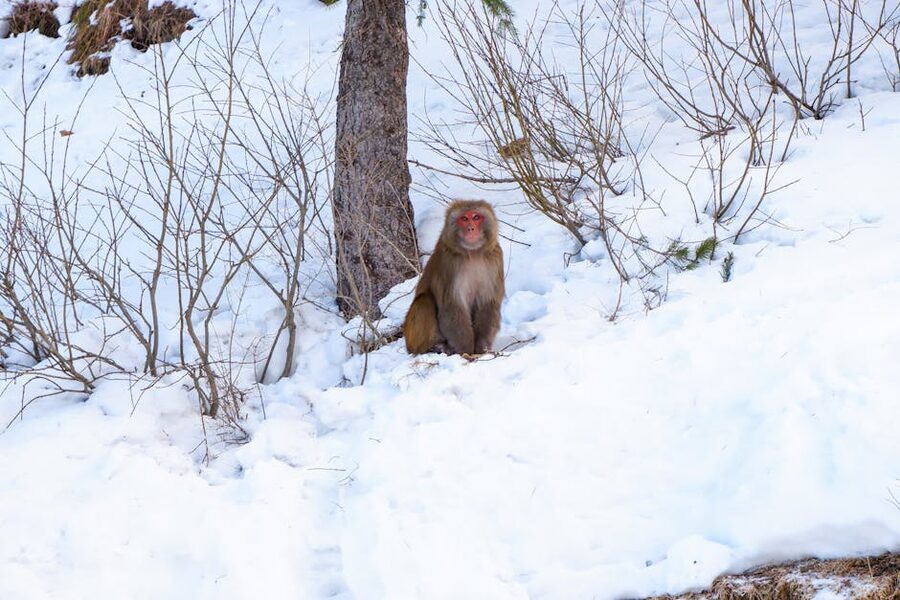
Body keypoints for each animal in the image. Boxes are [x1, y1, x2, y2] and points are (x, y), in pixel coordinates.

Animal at [403, 200, 504, 356]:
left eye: (476, 217)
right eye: (464, 219)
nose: (471, 228)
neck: (472, 254)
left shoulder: (495, 259)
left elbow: (488, 303)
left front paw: (481, 349)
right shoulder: (448, 264)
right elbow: (452, 306)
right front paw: (466, 351)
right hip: (411, 339)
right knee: (424, 302)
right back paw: (433, 347)